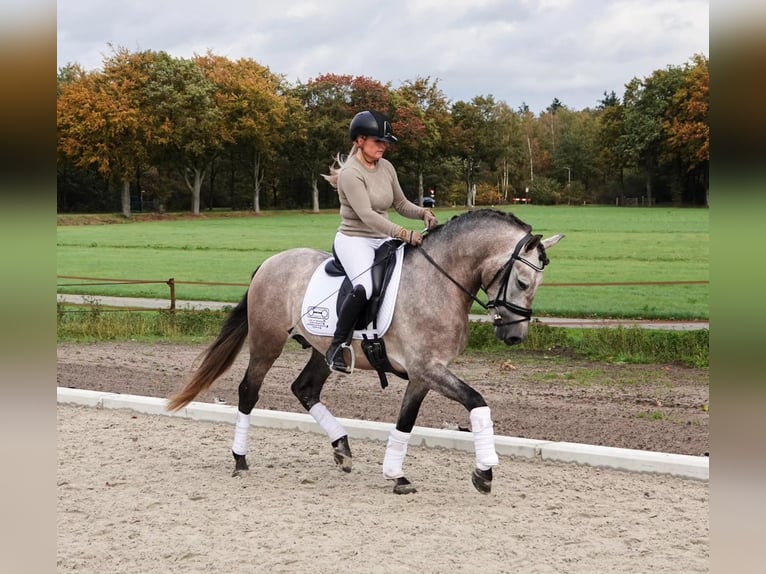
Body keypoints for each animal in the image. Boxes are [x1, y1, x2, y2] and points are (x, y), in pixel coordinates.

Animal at [167, 209, 564, 494]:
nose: (514, 336)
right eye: (523, 282)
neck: (440, 281)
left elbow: (405, 421)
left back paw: (341, 449)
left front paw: (396, 474)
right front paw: (484, 473)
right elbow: (477, 401)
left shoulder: (423, 374)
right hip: (267, 343)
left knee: (305, 389)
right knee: (249, 390)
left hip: (322, 349)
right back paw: (240, 459)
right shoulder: (429, 369)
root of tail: (270, 262)